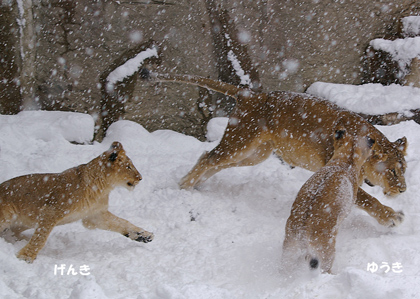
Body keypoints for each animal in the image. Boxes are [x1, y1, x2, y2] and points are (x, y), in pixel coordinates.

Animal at [0, 142, 153, 264]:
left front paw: (143, 235)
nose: (140, 178)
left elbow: (121, 223)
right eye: (128, 166)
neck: (103, 188)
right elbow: (41, 237)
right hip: (7, 216)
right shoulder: (52, 211)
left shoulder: (95, 215)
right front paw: (26, 257)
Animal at [140, 69, 406, 229]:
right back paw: (185, 185)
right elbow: (369, 200)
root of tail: (249, 94)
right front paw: (392, 217)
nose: (403, 190)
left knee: (215, 162)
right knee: (209, 156)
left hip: (254, 154)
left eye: (403, 170)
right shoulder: (340, 170)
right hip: (240, 143)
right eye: (393, 171)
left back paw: (196, 185)